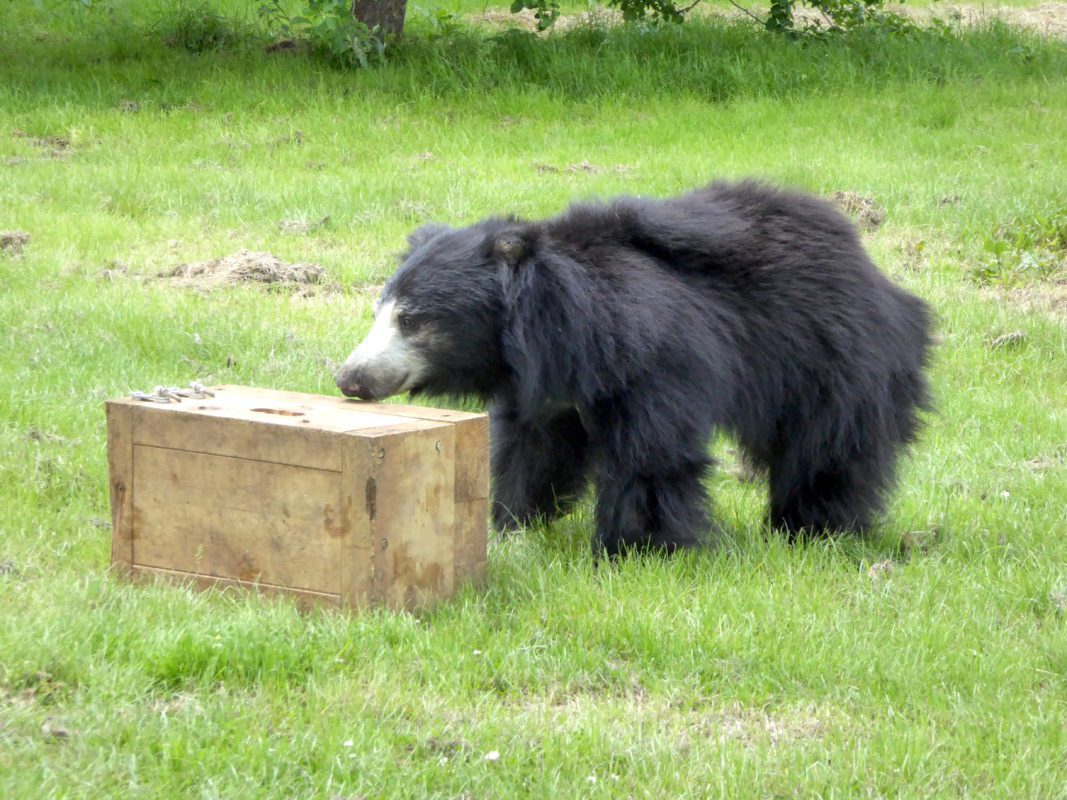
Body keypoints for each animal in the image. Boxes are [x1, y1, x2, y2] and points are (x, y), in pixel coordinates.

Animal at [334, 181, 933, 557]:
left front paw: (634, 549)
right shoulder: (550, 388)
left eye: (412, 320)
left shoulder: (653, 360)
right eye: (379, 312)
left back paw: (812, 528)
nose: (350, 378)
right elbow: (532, 449)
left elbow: (651, 455)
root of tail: (878, 275)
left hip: (831, 357)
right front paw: (512, 525)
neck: (555, 331)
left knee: (828, 448)